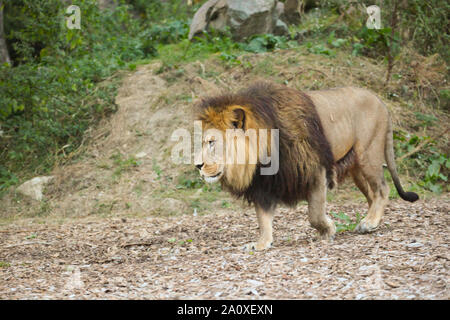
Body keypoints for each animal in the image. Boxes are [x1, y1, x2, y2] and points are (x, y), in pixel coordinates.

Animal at [193, 80, 418, 250]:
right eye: (203, 142)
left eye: (212, 142)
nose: (197, 165)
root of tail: (379, 100)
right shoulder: (263, 183)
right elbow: (263, 218)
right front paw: (262, 243)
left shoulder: (315, 170)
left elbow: (315, 214)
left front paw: (328, 230)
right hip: (357, 169)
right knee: (372, 195)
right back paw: (370, 223)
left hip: (368, 155)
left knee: (382, 189)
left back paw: (369, 222)